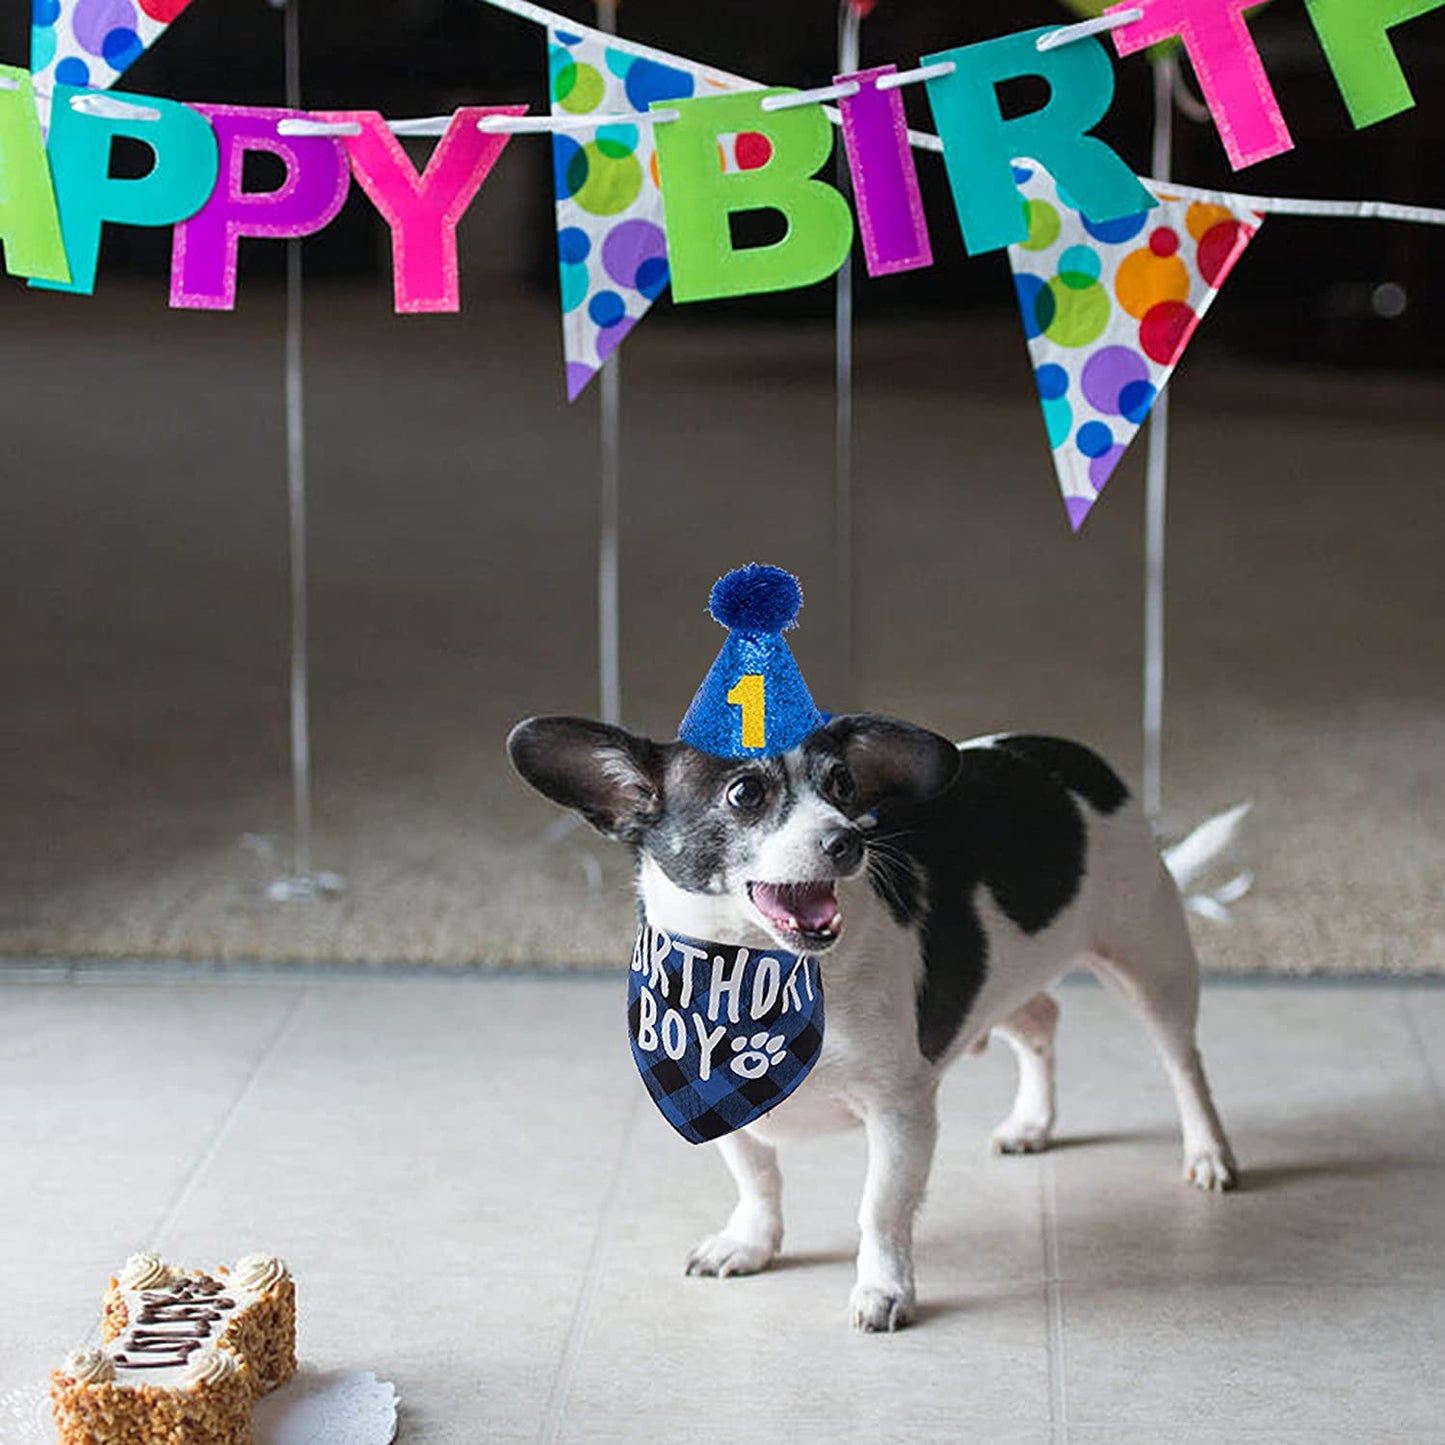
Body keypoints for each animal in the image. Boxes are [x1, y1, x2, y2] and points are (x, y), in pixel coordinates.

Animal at [505, 710, 1231, 1329]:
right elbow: (757, 1178)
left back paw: (1208, 1152)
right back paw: (1032, 1122)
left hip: (1150, 962)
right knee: (1041, 1021)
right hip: (1004, 979)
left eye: (842, 785)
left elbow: (880, 1209)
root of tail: (1074, 757)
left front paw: (884, 1289)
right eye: (745, 793)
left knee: (1183, 1062)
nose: (847, 838)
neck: (756, 980)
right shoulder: (717, 1103)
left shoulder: (898, 1113)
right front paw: (751, 1242)